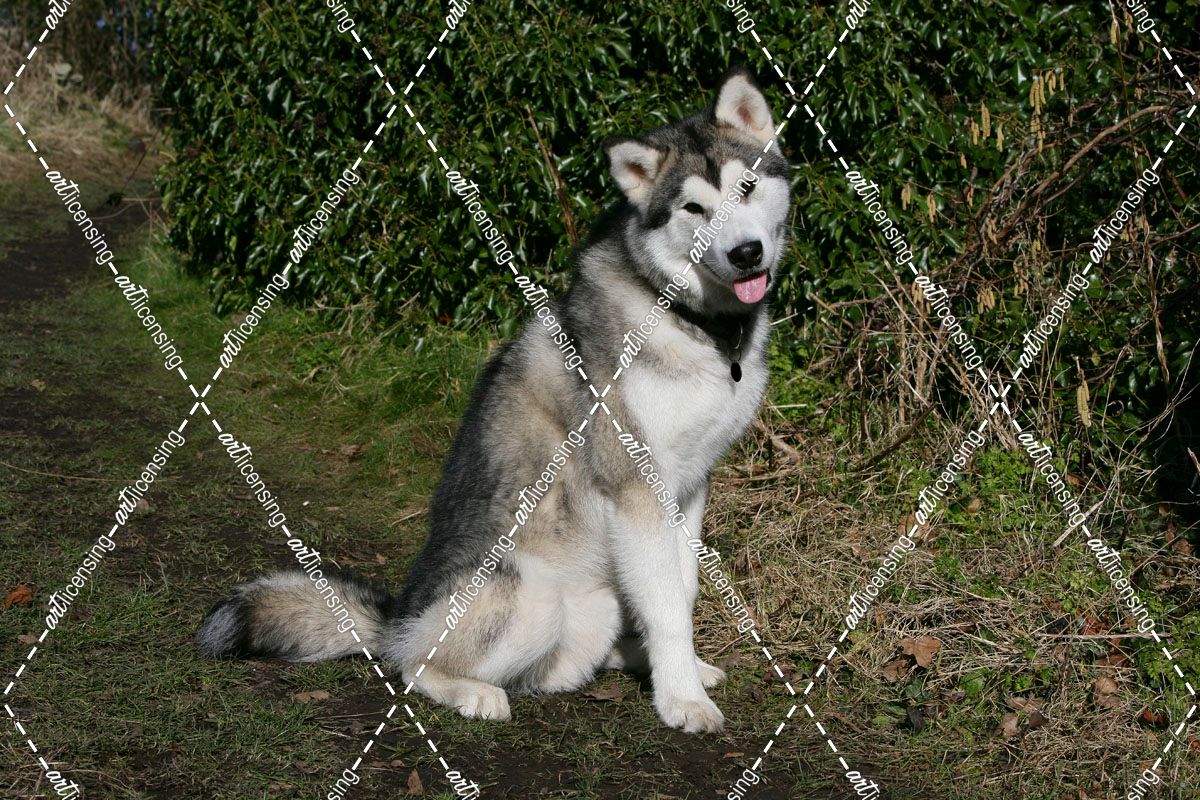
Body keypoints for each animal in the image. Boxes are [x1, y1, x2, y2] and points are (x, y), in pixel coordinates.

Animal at [196, 66, 791, 733]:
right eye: (694, 208)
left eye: (747, 187)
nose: (746, 253)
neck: (691, 323)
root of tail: (399, 617)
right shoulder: (637, 487)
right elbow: (664, 604)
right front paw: (683, 699)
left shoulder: (691, 485)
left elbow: (680, 592)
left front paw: (683, 668)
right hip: (524, 598)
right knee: (412, 665)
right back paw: (471, 691)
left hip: (593, 606)